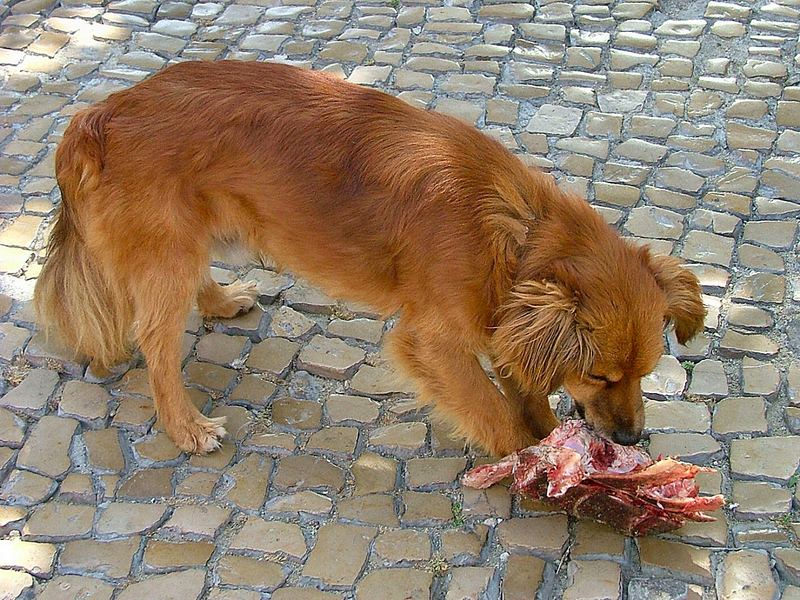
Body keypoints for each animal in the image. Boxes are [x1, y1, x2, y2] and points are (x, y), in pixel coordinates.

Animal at [34, 61, 704, 454]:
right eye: (602, 376)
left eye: (645, 374)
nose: (634, 440)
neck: (517, 231)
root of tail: (98, 114)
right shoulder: (431, 341)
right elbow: (491, 408)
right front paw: (533, 464)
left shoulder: (499, 318)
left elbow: (521, 383)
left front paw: (546, 432)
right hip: (166, 254)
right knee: (155, 344)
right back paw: (186, 427)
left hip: (188, 240)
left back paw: (222, 301)